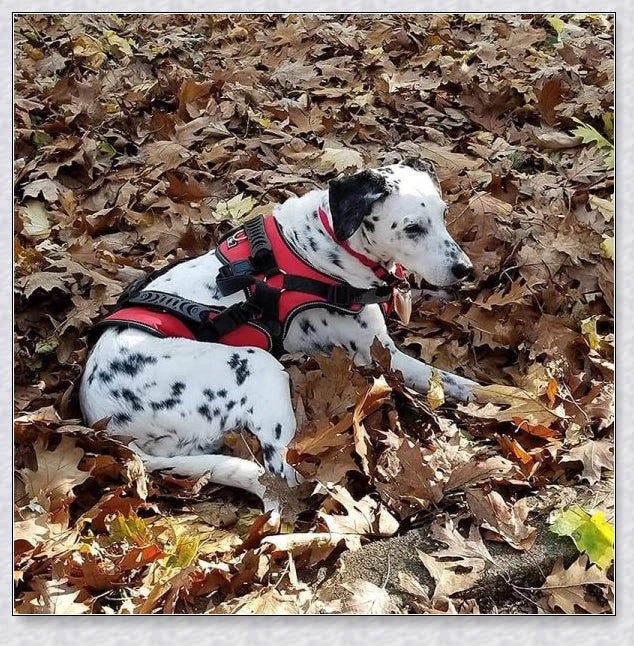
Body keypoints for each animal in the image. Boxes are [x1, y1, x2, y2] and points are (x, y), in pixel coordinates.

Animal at [79, 162, 474, 512]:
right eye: (412, 228)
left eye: (443, 214)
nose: (466, 270)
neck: (327, 240)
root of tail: (108, 424)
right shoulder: (382, 354)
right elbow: (455, 381)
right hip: (258, 366)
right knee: (283, 472)